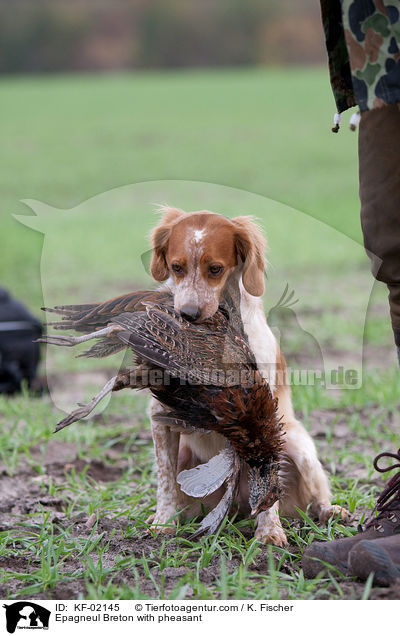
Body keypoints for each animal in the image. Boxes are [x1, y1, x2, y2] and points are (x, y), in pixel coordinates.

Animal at [148, 206, 350, 544]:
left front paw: (269, 533)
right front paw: (164, 522)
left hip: (300, 447)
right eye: (176, 267)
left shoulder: (262, 414)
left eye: (215, 269)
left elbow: (269, 482)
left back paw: (331, 511)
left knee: (315, 495)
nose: (187, 314)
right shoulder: (159, 415)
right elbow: (165, 480)